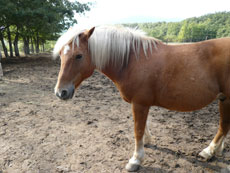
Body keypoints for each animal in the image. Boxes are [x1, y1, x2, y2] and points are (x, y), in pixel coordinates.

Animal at [53, 25, 230, 172]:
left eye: (79, 56)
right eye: (61, 54)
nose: (61, 92)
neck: (131, 61)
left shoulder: (140, 103)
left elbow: (137, 129)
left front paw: (136, 160)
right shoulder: (142, 104)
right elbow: (144, 126)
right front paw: (147, 142)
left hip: (226, 99)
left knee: (223, 127)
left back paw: (209, 151)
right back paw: (218, 149)